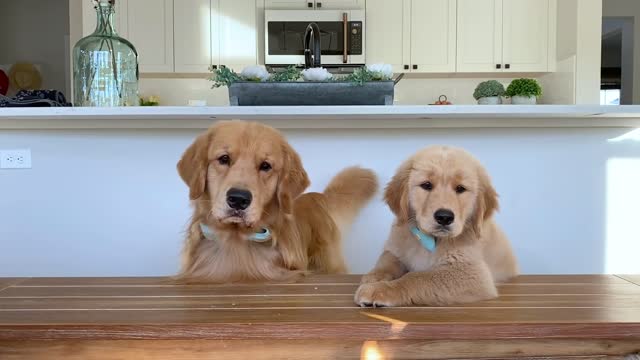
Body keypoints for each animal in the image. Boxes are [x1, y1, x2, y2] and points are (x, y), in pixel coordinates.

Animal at [352, 146, 516, 306]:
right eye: (426, 185)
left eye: (460, 188)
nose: (444, 217)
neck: (429, 240)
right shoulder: (395, 247)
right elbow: (387, 260)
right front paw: (374, 276)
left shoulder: (474, 274)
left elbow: (417, 278)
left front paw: (380, 289)